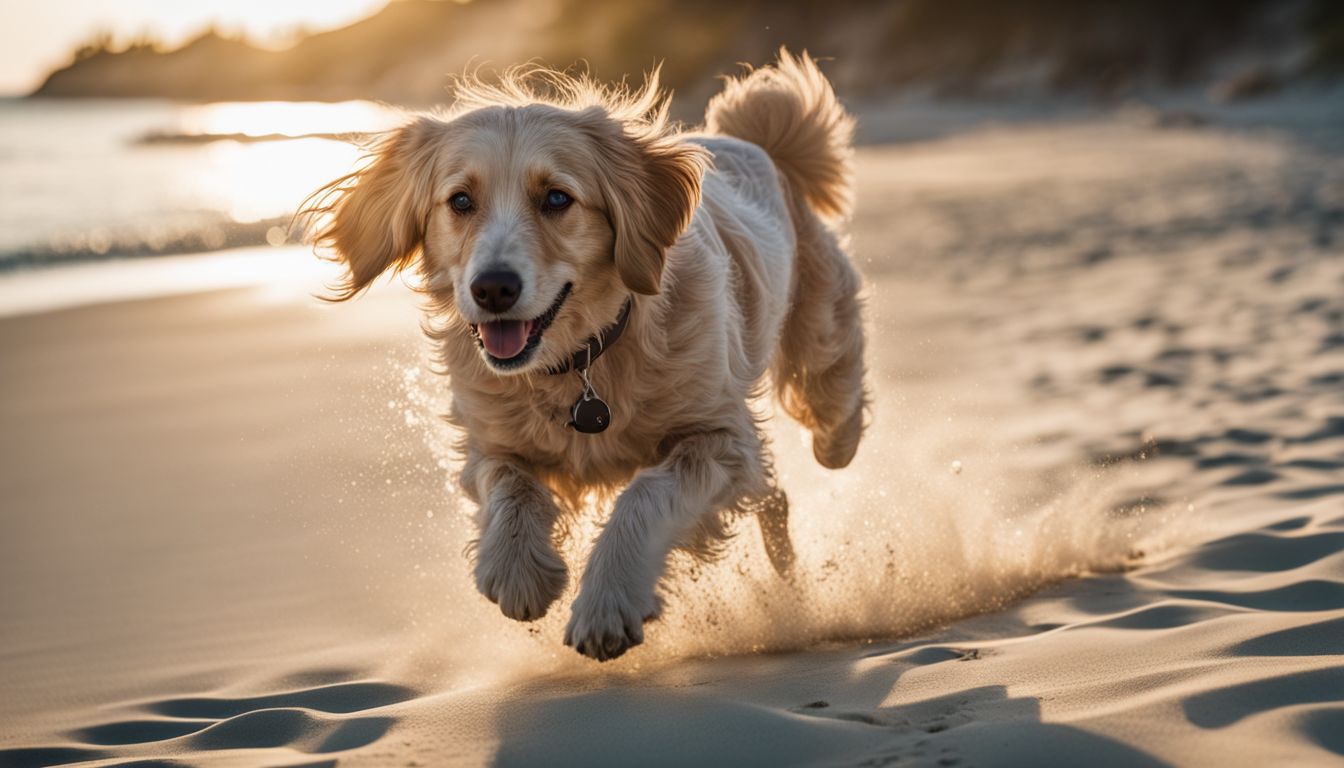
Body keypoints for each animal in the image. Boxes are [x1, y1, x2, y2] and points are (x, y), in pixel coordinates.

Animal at [307, 49, 870, 661]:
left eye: (557, 198)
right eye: (460, 201)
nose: (493, 288)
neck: (580, 365)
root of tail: (750, 141)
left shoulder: (718, 435)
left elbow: (646, 495)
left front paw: (606, 603)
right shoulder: (490, 443)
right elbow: (511, 489)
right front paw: (518, 571)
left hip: (818, 334)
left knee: (830, 402)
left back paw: (837, 446)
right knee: (775, 498)